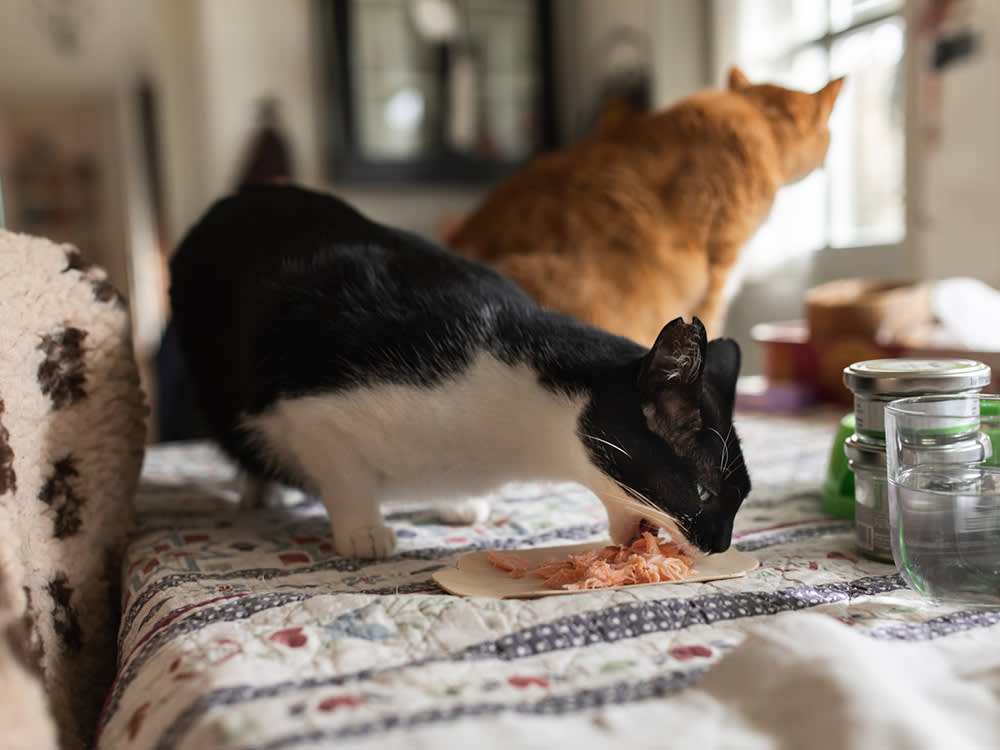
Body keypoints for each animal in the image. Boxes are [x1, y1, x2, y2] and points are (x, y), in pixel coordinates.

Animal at [170, 184, 752, 560]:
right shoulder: (312, 407)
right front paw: (363, 530)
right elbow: (342, 469)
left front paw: (456, 501)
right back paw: (262, 488)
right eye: (702, 492)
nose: (721, 544)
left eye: (741, 498)